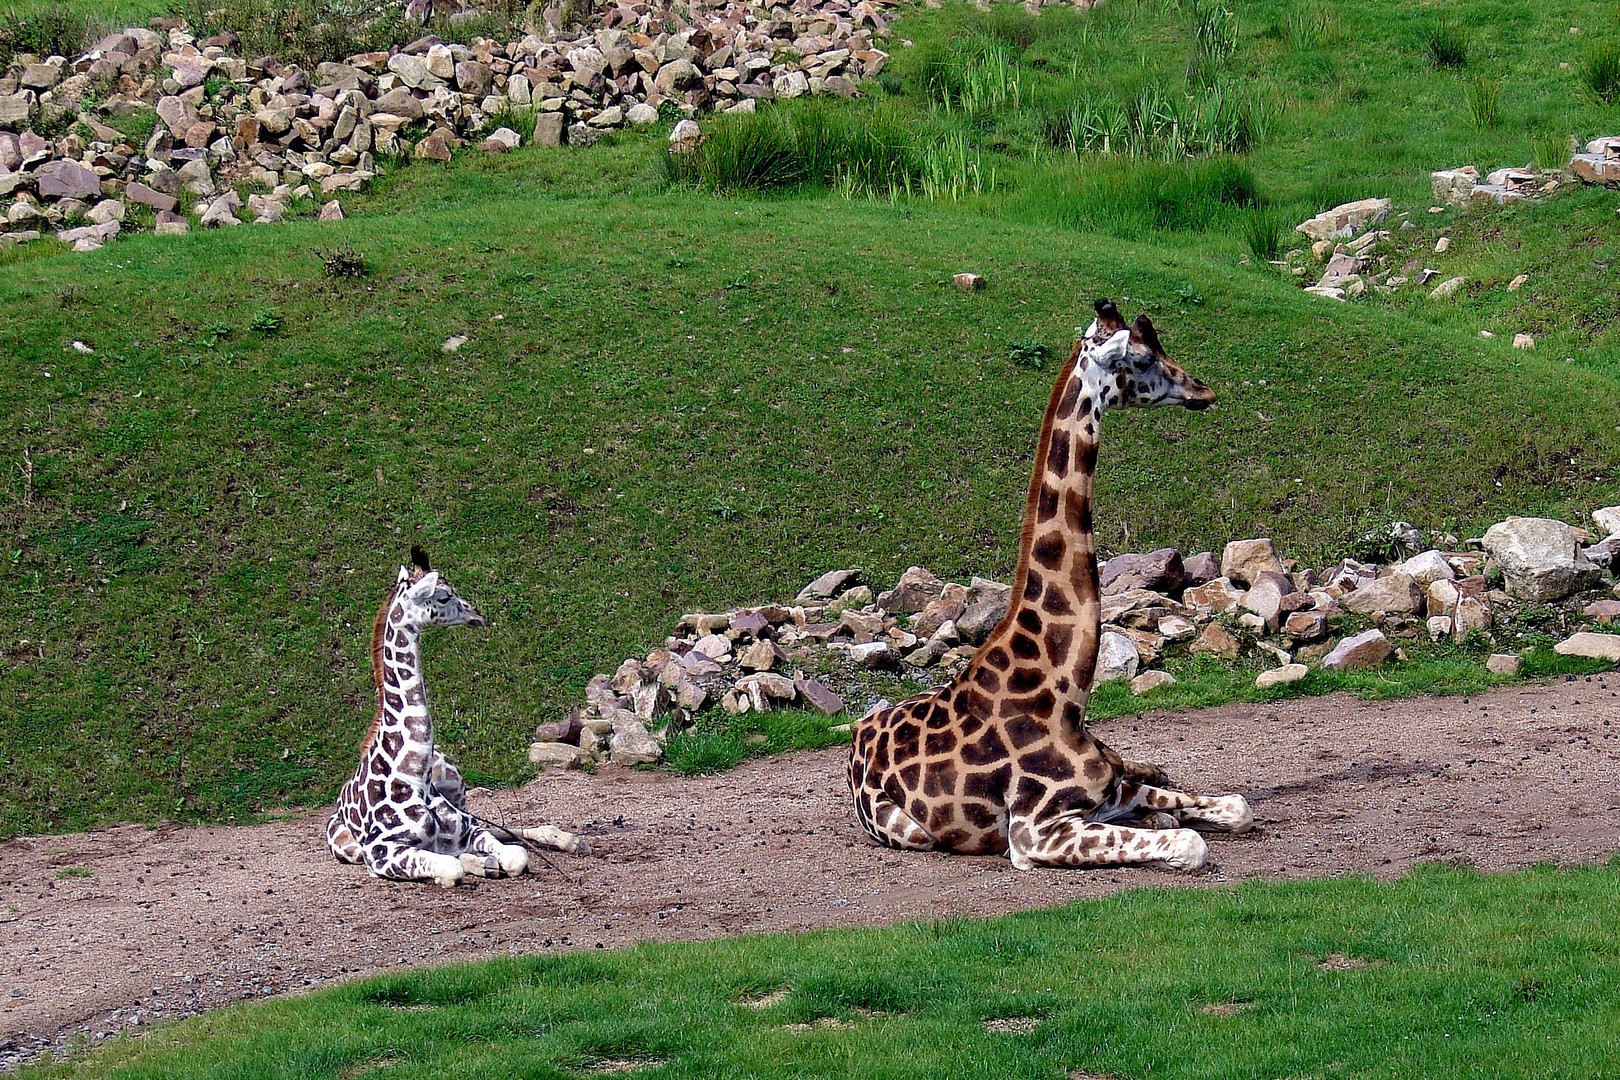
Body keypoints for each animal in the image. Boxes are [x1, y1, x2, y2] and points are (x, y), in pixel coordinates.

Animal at [325, 550, 586, 887]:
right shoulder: (380, 852)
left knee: (500, 826)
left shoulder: (468, 827)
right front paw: (476, 864)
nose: (477, 614)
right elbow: (451, 866)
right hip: (349, 849)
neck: (414, 775)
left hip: (457, 785)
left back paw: (566, 839)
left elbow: (514, 854)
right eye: (443, 595)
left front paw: (492, 860)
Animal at [848, 299, 1250, 874]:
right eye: (1144, 358)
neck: (1064, 697)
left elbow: (1234, 806)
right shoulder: (1034, 832)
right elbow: (1189, 841)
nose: (1204, 390)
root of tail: (858, 734)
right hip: (910, 831)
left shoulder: (1112, 788)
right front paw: (1167, 830)